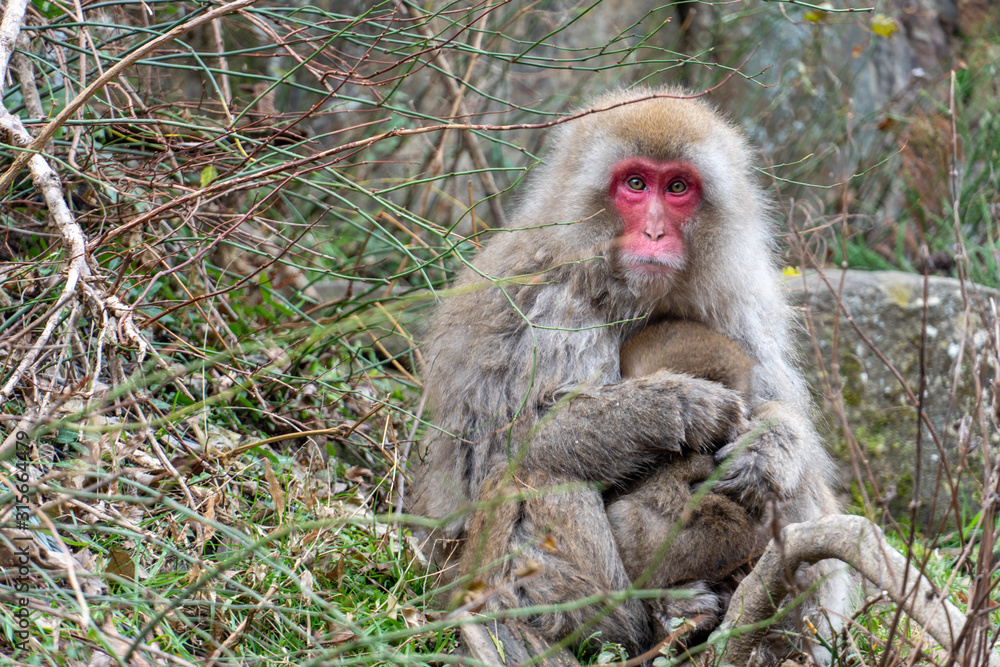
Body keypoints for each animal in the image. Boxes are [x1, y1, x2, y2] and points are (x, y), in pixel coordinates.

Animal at [408, 87, 845, 662]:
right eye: (635, 184)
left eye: (677, 187)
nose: (655, 232)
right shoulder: (546, 303)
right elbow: (505, 448)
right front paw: (673, 406)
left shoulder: (739, 303)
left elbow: (780, 417)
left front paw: (771, 445)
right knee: (534, 475)